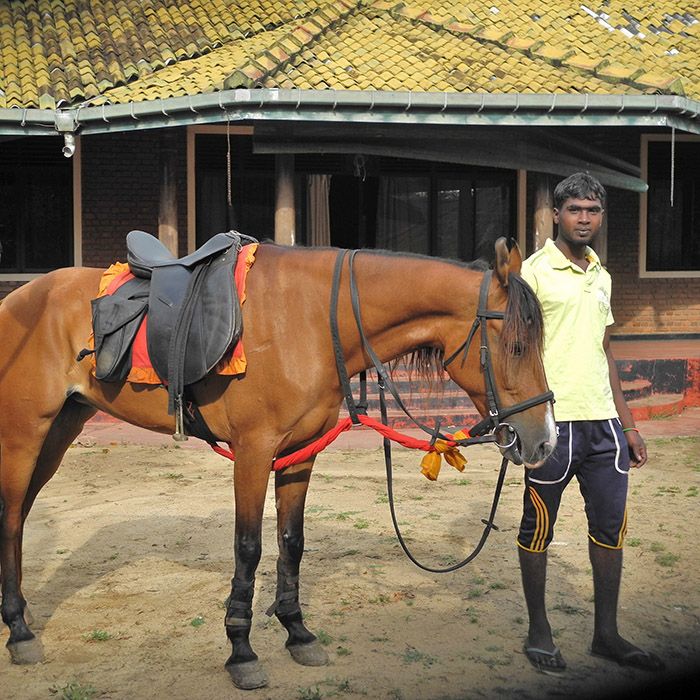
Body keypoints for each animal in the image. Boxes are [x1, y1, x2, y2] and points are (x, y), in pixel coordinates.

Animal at [0, 236, 556, 689]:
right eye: (516, 346)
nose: (544, 441)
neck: (312, 321)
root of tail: (16, 300)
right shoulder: (253, 451)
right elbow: (249, 547)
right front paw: (241, 651)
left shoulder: (299, 453)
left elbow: (292, 542)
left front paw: (297, 632)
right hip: (25, 434)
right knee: (11, 519)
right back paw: (19, 630)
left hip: (62, 427)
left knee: (22, 517)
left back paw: (18, 618)